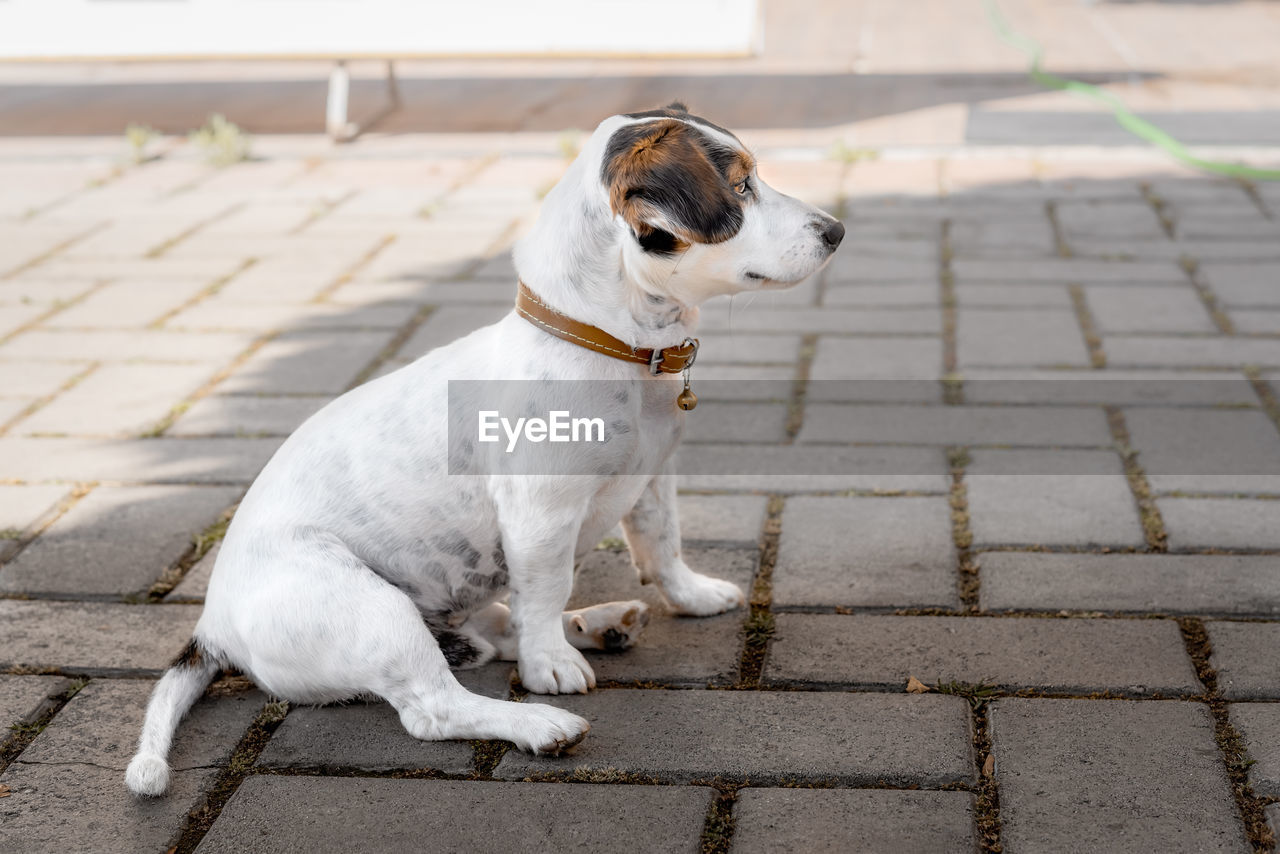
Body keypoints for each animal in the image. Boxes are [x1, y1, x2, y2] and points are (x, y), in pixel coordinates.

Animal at [124, 103, 844, 798]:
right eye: (741, 187)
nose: (836, 230)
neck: (620, 350)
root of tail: (214, 626)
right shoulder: (542, 514)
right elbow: (546, 589)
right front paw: (550, 666)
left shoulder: (653, 479)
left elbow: (662, 546)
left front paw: (689, 596)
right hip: (372, 609)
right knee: (435, 706)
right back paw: (542, 721)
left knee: (494, 631)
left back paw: (600, 623)